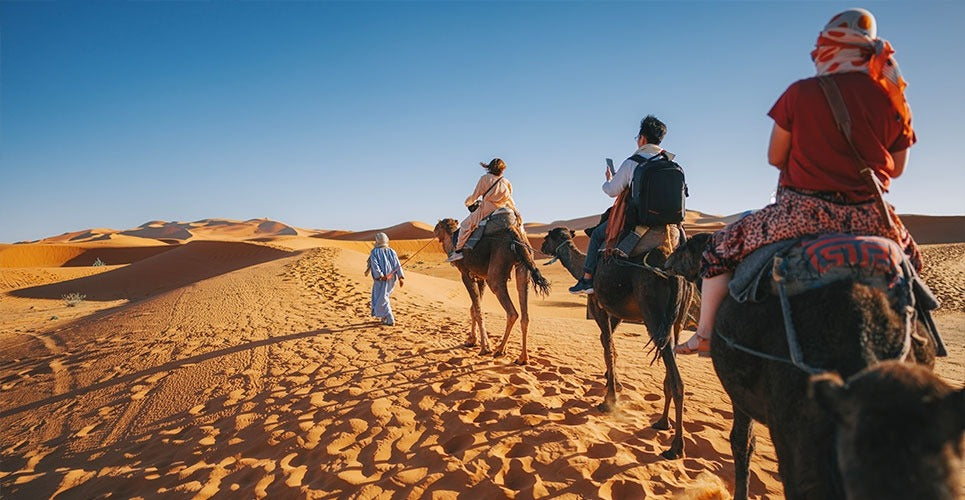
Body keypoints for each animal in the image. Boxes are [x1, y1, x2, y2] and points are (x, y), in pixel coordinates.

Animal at [432, 217, 548, 366]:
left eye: (437, 226)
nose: (433, 230)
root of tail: (515, 235)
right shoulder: (481, 277)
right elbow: (473, 308)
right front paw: (471, 340)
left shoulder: (466, 274)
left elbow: (478, 309)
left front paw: (484, 347)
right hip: (523, 266)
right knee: (524, 313)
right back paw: (522, 358)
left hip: (496, 271)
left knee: (512, 312)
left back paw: (499, 350)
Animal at [540, 229, 696, 458]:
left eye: (548, 237)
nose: (542, 247)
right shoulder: (617, 313)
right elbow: (610, 346)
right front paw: (614, 384)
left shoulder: (598, 306)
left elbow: (608, 347)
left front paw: (609, 400)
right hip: (677, 321)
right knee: (670, 368)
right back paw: (662, 422)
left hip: (653, 315)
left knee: (677, 381)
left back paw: (675, 447)